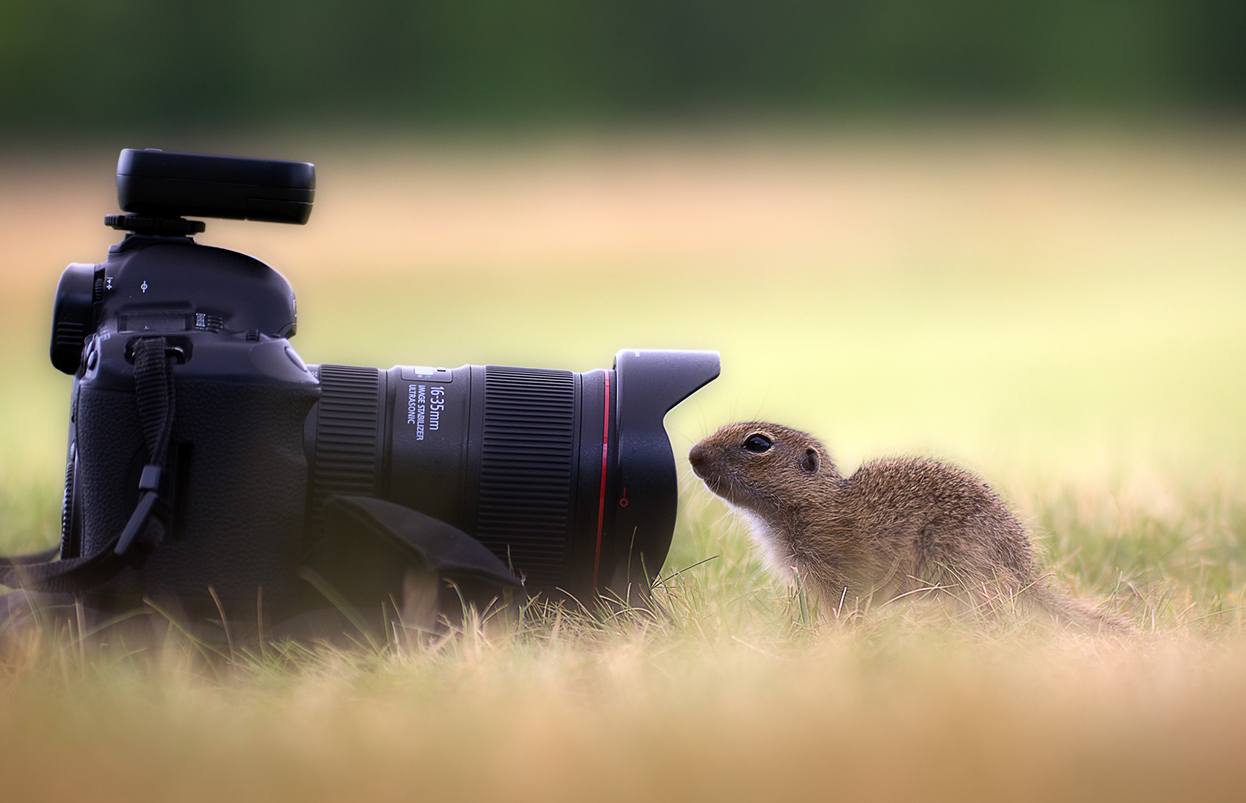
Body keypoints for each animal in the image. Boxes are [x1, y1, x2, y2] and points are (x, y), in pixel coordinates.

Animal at [692, 423, 1131, 630]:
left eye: (757, 444)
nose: (693, 455)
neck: (809, 504)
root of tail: (1024, 574)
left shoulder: (836, 575)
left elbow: (842, 612)